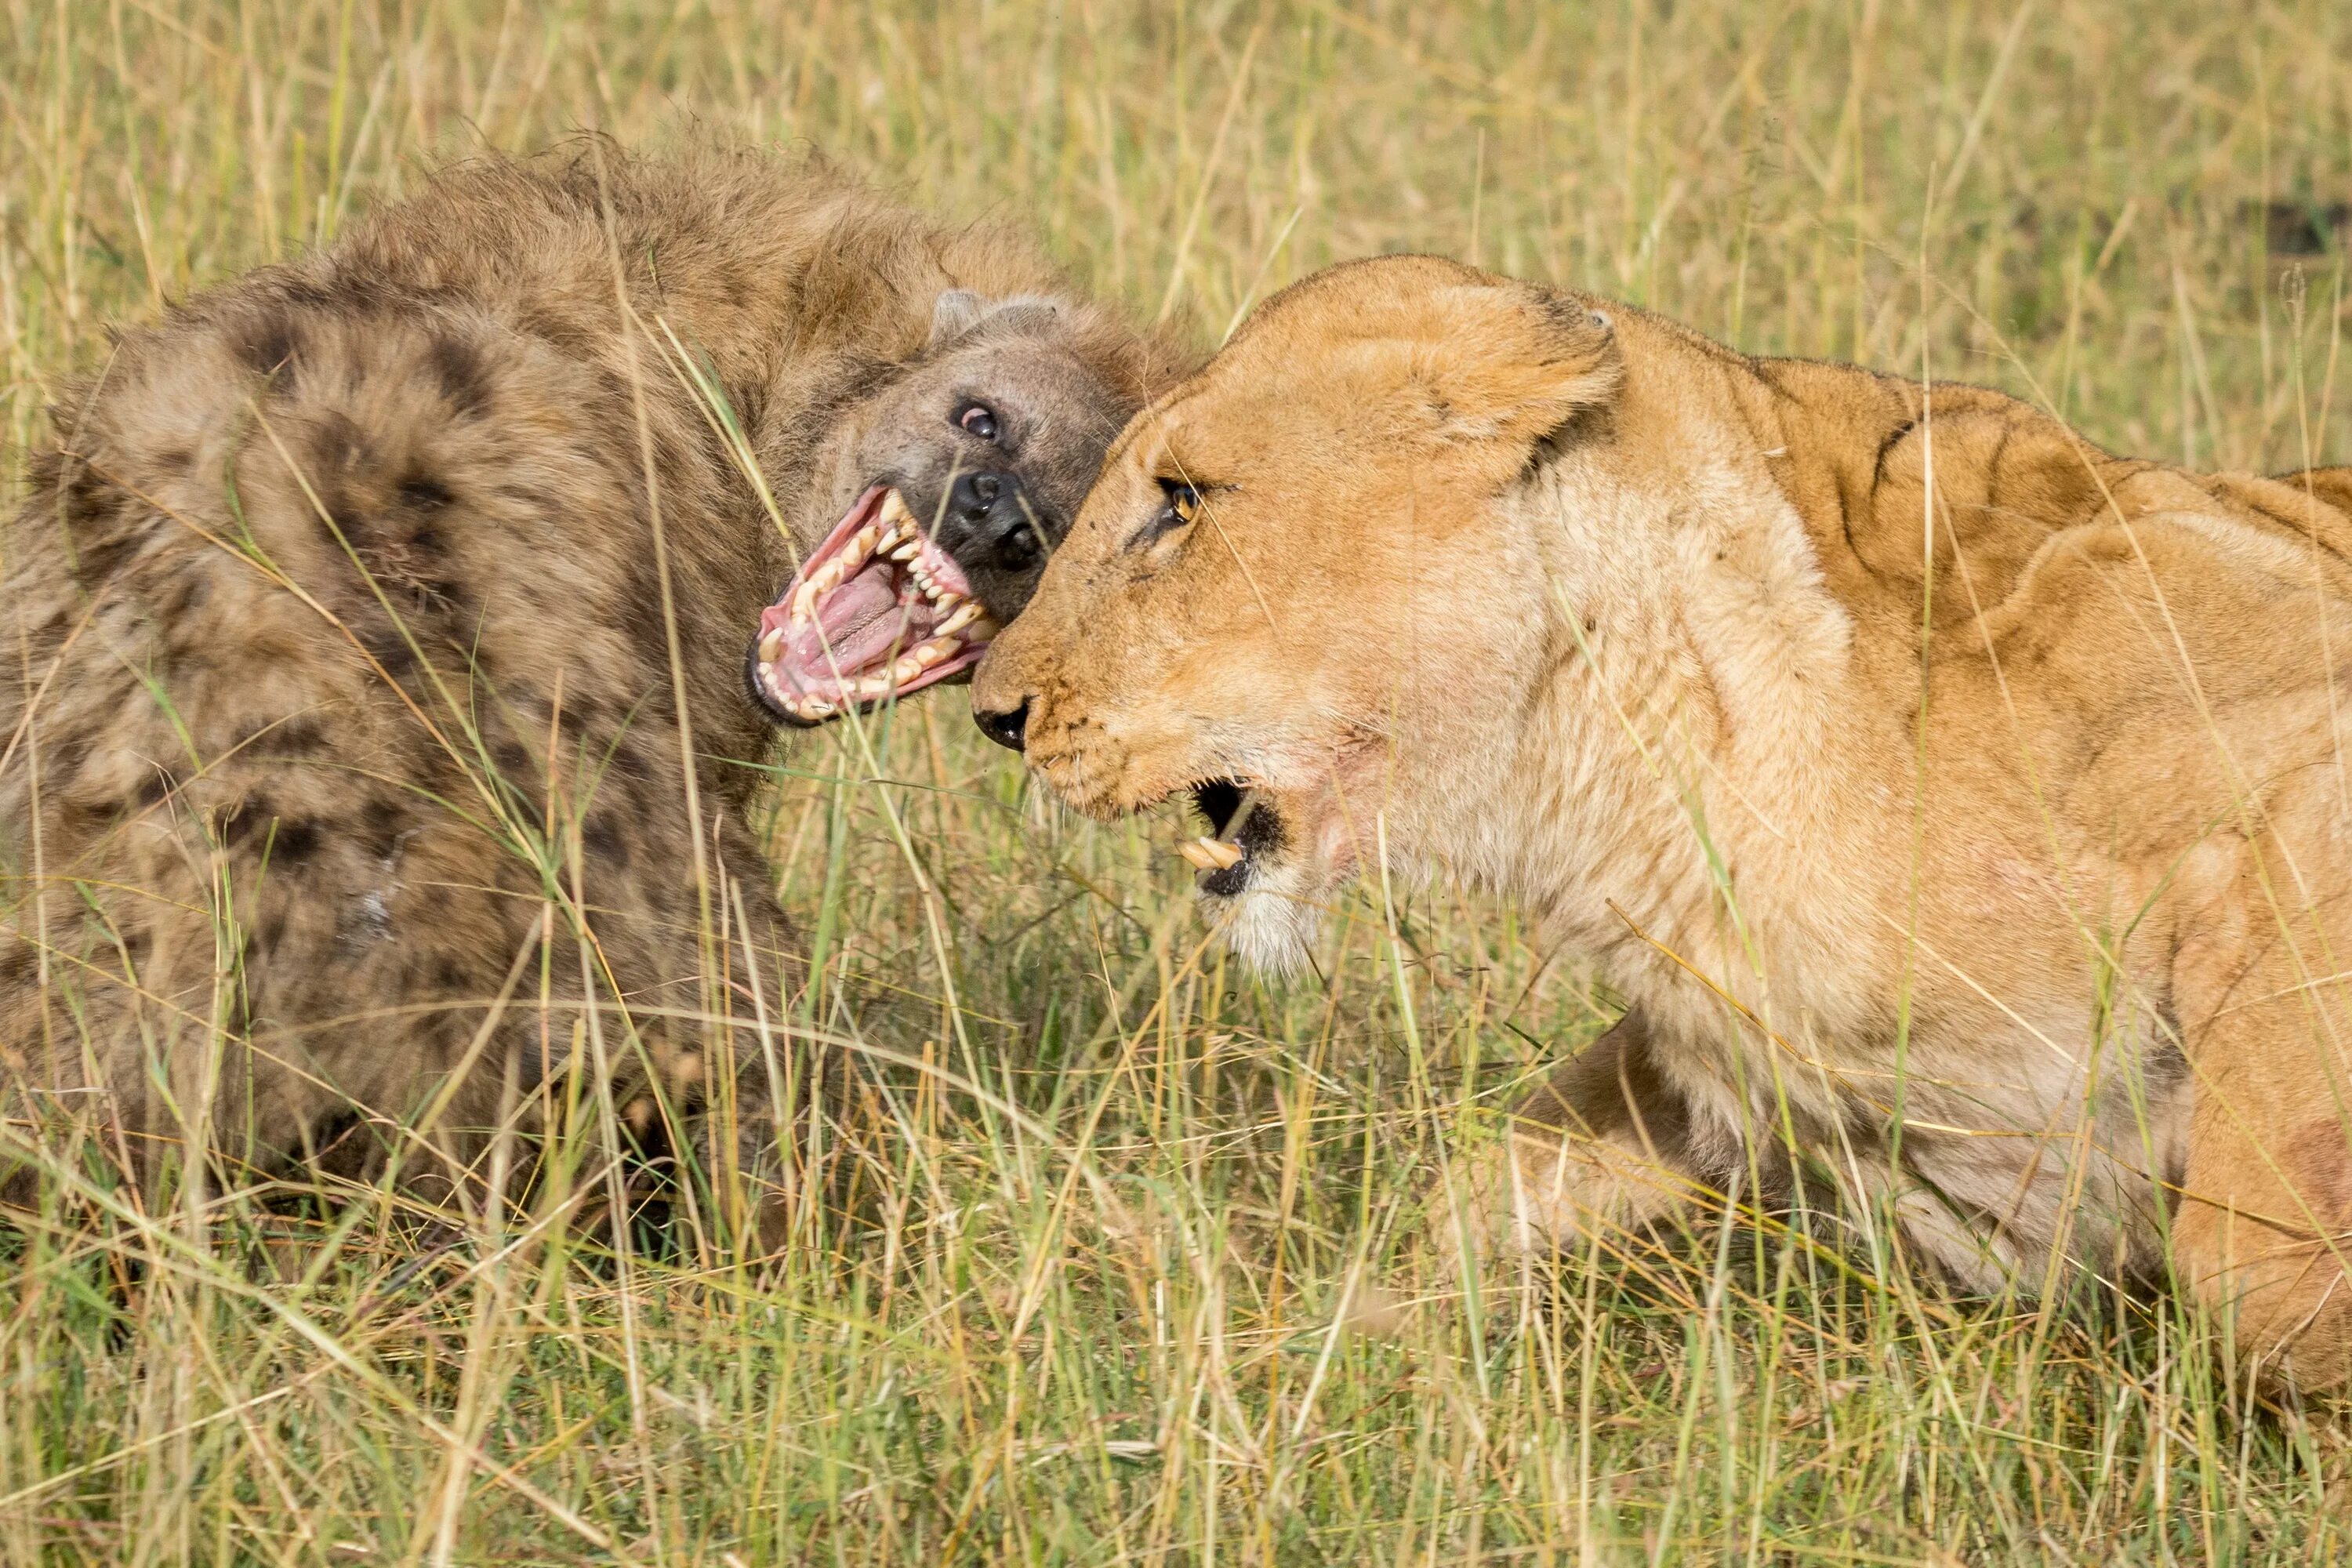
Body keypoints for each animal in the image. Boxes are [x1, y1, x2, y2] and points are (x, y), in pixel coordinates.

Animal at [969, 255, 2352, 1382]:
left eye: (1182, 502)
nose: (996, 714)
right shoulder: (1705, 1050)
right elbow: (1484, 1187)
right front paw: (1276, 1346)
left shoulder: (2295, 773)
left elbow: (2254, 1271)